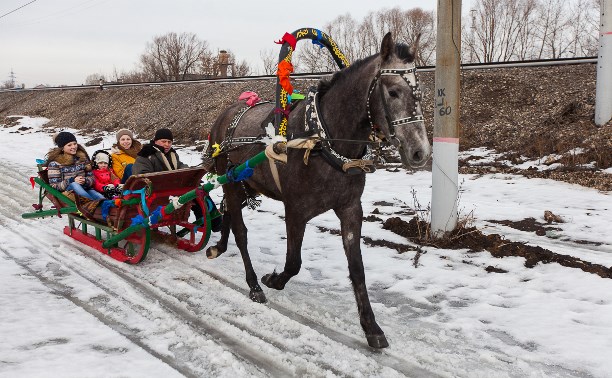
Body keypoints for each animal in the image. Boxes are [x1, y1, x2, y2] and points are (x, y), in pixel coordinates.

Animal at [206, 33, 430, 348]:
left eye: (419, 91)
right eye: (393, 92)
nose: (420, 152)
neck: (321, 139)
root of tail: (226, 114)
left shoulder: (350, 208)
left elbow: (357, 268)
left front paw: (371, 326)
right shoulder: (295, 210)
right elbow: (294, 262)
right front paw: (273, 280)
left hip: (242, 182)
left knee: (227, 212)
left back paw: (219, 246)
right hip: (231, 181)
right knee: (241, 231)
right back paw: (252, 283)